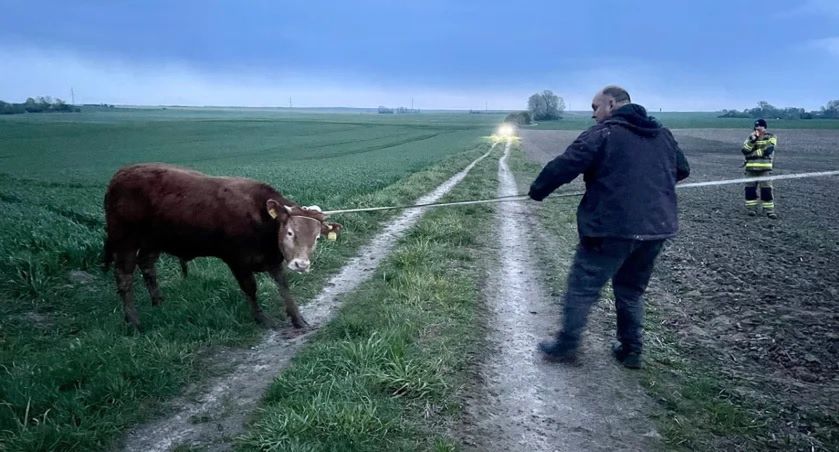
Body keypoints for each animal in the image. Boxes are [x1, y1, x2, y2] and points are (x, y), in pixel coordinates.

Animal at [103, 164, 340, 330]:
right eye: (290, 232)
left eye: (316, 238)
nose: (301, 264)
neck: (260, 218)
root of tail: (121, 174)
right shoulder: (237, 260)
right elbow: (250, 288)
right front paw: (262, 319)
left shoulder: (272, 259)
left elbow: (284, 287)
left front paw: (298, 319)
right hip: (124, 239)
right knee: (124, 277)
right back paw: (134, 321)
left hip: (153, 241)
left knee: (147, 265)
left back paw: (158, 302)